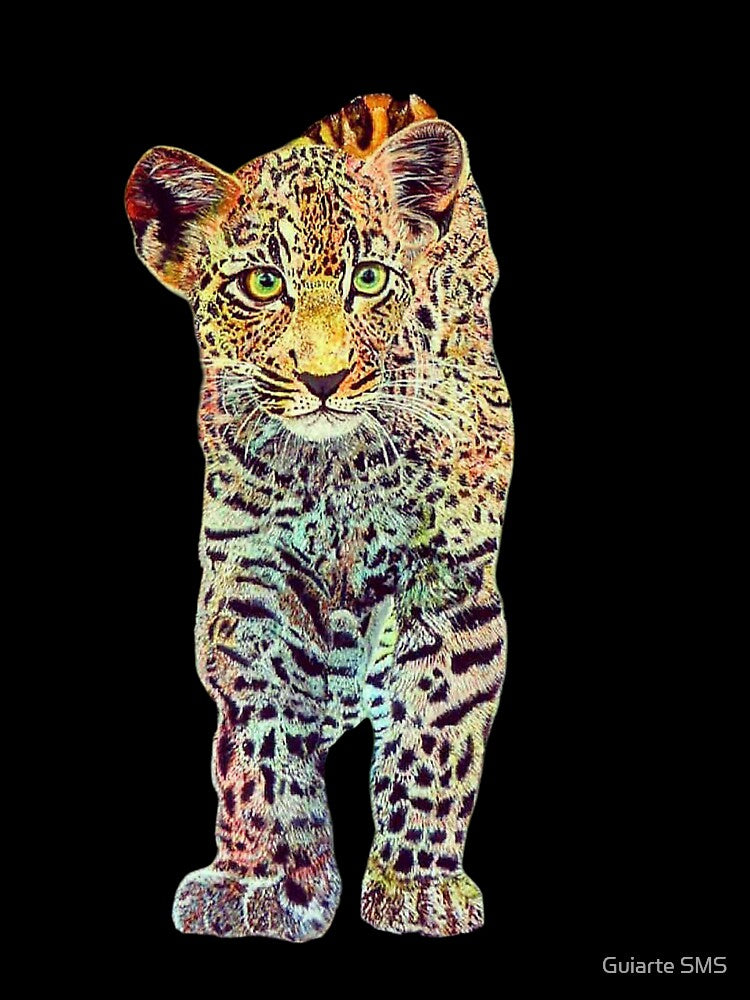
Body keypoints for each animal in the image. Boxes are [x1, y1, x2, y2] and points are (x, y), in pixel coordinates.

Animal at [125, 93, 514, 941]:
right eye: (263, 284)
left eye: (368, 279)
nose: (324, 379)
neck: (336, 469)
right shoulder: (250, 582)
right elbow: (262, 738)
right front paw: (269, 881)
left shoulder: (453, 584)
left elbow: (433, 734)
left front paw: (417, 886)